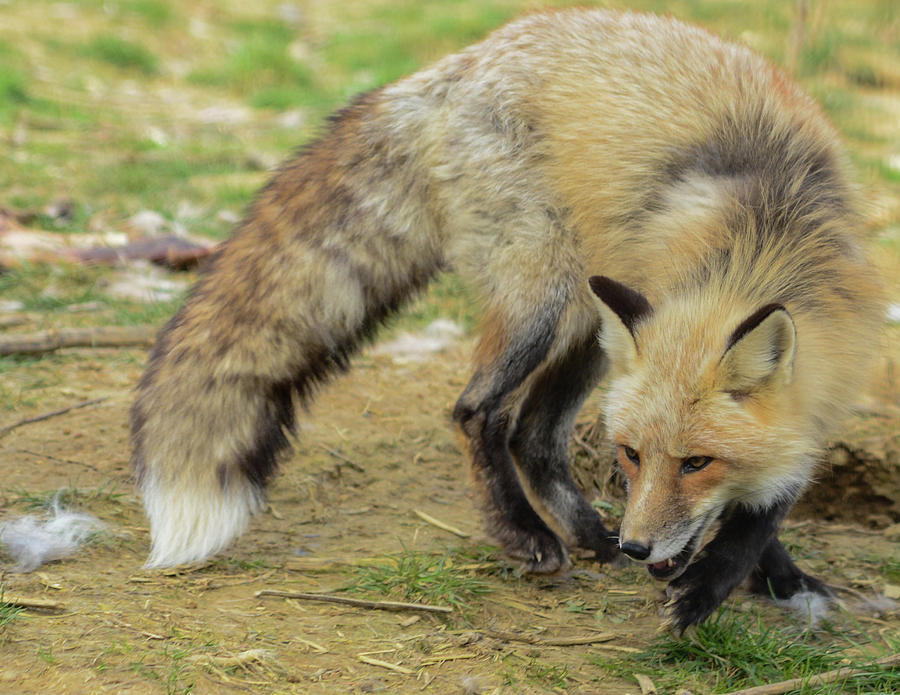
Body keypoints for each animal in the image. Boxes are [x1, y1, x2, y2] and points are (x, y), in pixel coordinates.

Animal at [130, 9, 884, 632]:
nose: (640, 546)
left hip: (590, 322)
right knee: (480, 412)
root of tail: (453, 65)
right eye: (631, 456)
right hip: (547, 298)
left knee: (533, 433)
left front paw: (769, 579)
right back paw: (528, 535)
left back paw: (587, 535)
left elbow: (763, 504)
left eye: (697, 461)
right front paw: (705, 593)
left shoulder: (827, 387)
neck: (768, 232)